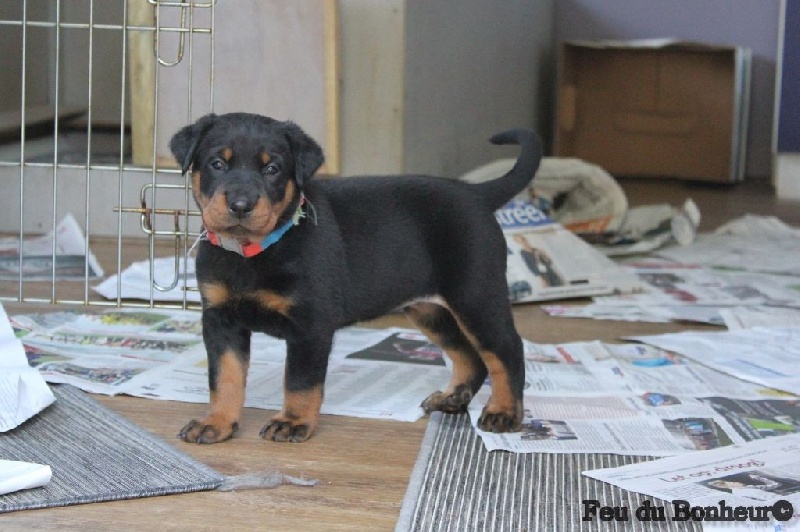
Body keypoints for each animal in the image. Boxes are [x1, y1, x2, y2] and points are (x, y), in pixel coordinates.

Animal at [169, 113, 542, 444]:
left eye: (272, 169)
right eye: (217, 164)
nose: (240, 205)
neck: (252, 251)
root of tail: (476, 194)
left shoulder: (310, 325)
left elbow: (300, 381)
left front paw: (292, 422)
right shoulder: (220, 320)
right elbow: (224, 377)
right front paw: (217, 423)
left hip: (475, 295)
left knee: (506, 350)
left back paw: (504, 412)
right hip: (429, 309)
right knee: (469, 355)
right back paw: (452, 399)